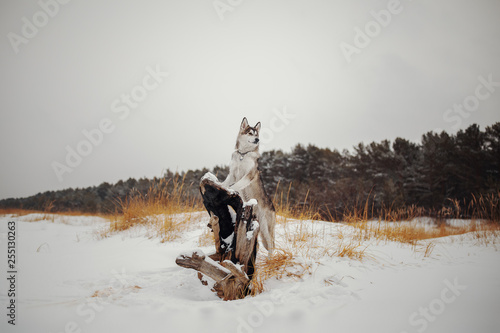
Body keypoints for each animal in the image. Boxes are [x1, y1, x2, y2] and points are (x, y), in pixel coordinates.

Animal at [224, 118, 276, 250]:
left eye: (257, 135)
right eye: (250, 133)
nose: (257, 140)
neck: (243, 154)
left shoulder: (248, 175)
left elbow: (236, 185)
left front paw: (230, 189)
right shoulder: (232, 174)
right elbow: (226, 182)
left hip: (265, 228)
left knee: (271, 247)